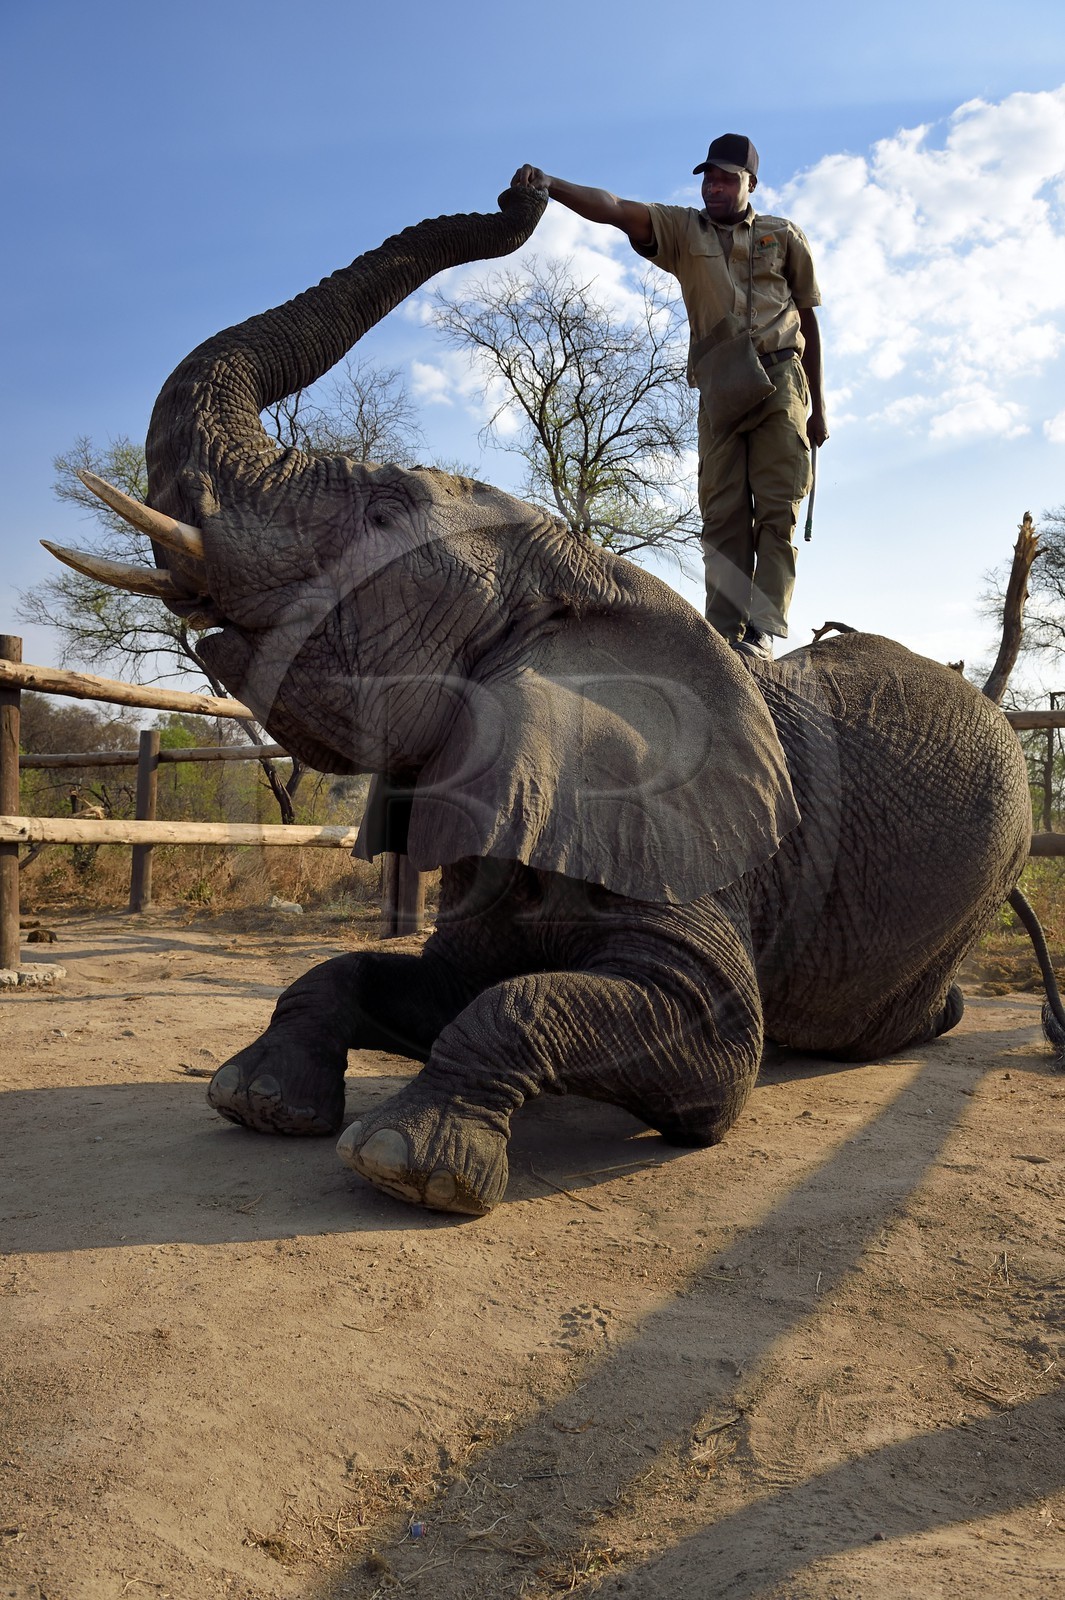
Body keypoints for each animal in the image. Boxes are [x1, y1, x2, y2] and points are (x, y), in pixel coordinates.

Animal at [52, 186, 1056, 1218]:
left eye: (383, 517)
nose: (518, 190)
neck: (589, 576)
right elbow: (410, 976)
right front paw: (258, 1099)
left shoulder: (689, 841)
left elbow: (690, 1037)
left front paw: (410, 1165)